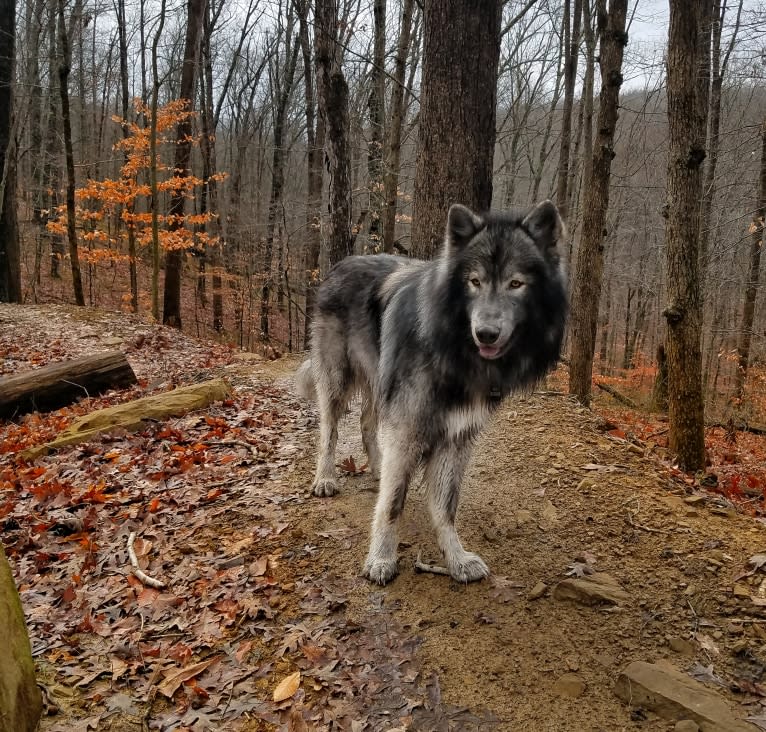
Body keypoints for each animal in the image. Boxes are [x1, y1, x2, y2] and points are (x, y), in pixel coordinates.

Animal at [296, 200, 568, 584]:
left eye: (516, 283)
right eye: (474, 282)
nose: (486, 333)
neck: (454, 350)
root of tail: (342, 263)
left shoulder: (457, 435)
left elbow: (446, 507)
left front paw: (455, 559)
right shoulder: (407, 427)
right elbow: (392, 504)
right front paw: (381, 559)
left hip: (381, 384)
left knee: (367, 425)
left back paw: (377, 468)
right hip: (336, 381)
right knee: (329, 432)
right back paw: (325, 478)